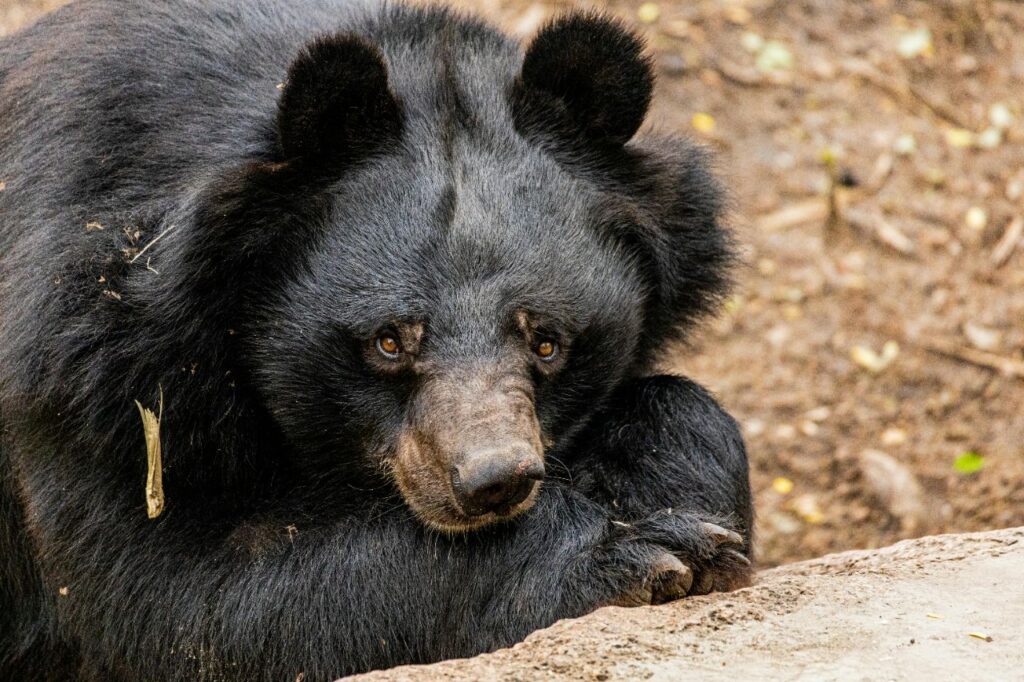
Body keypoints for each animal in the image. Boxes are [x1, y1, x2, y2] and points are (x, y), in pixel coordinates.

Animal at [0, 0, 753, 679]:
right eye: (389, 342)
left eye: (548, 342)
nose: (494, 481)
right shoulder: (89, 371)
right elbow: (183, 605)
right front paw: (646, 551)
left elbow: (686, 415)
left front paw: (686, 507)